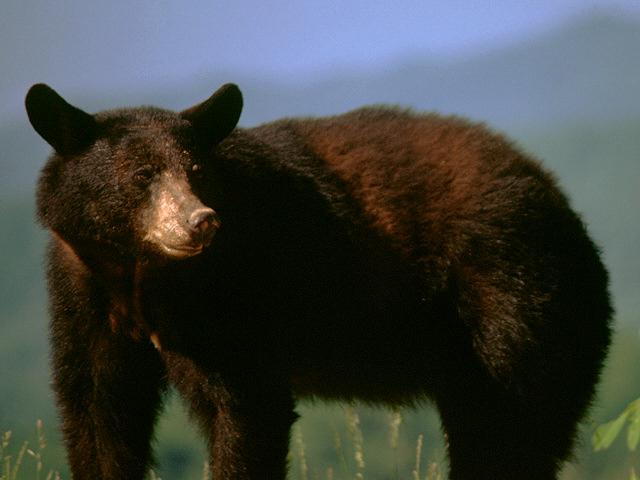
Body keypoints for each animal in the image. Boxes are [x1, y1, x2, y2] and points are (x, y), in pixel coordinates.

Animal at [25, 82, 612, 480]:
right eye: (142, 175)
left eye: (195, 170)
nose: (201, 221)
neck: (138, 275)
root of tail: (562, 204)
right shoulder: (80, 292)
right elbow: (97, 409)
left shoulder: (232, 291)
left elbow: (246, 406)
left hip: (510, 298)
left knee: (508, 423)